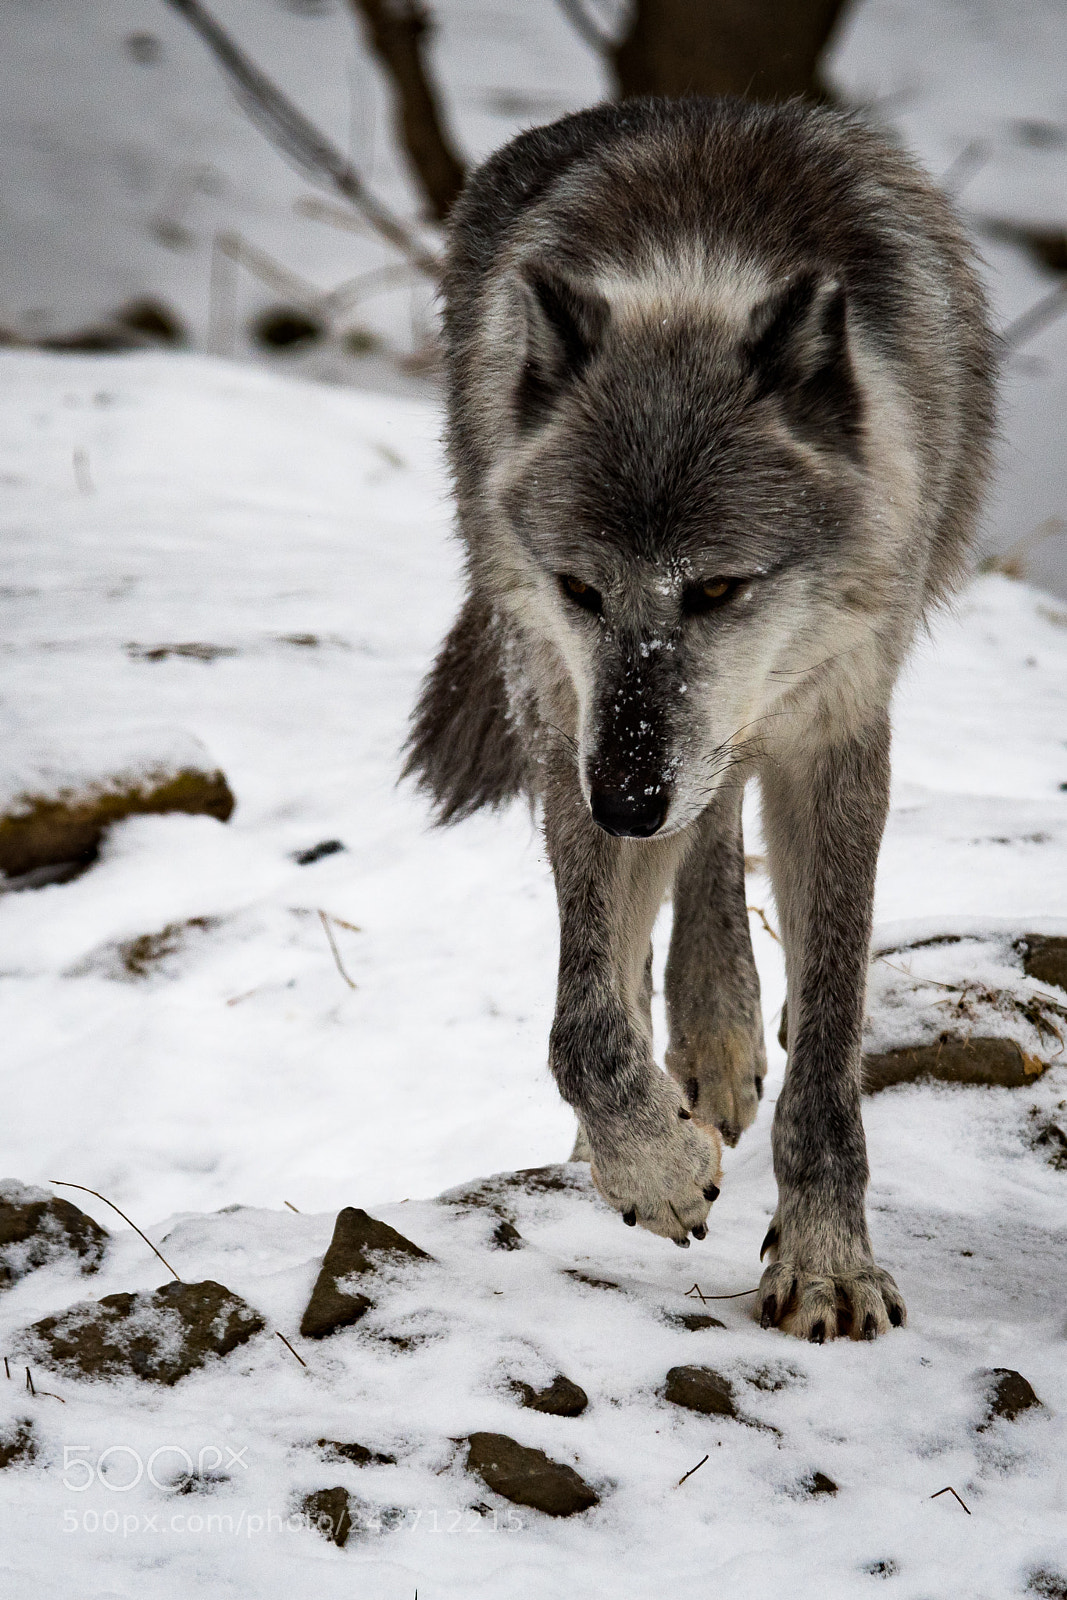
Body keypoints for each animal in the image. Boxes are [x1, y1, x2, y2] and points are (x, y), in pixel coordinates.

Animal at [405, 97, 996, 1341]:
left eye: (717, 587)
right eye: (581, 589)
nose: (627, 800)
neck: (696, 269)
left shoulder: (833, 736)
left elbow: (828, 1041)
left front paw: (825, 1262)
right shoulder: (567, 719)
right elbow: (581, 1023)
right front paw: (653, 1165)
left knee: (715, 818)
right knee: (687, 859)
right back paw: (693, 1055)